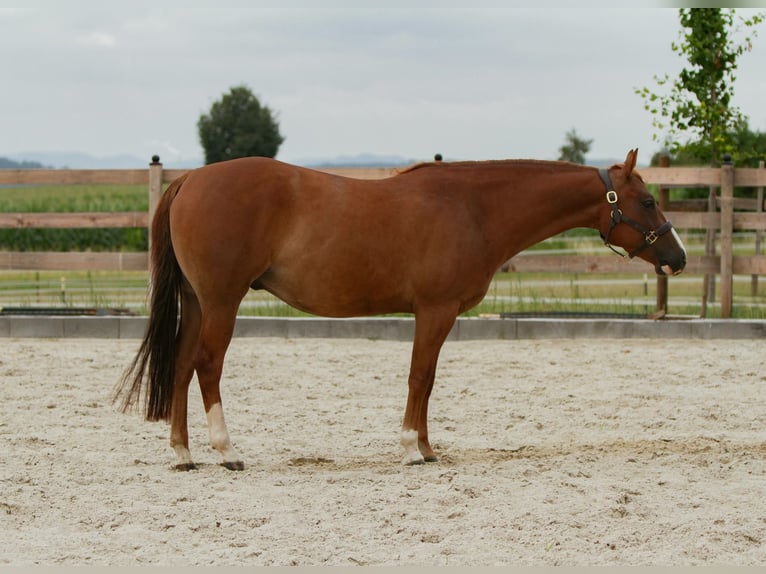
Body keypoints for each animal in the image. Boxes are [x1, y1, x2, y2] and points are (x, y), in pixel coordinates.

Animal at [113, 148, 686, 470]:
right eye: (648, 202)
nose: (677, 258)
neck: (473, 209)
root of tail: (191, 179)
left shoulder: (437, 316)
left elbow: (427, 382)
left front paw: (428, 449)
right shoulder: (435, 311)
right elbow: (419, 378)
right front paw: (412, 449)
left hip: (196, 300)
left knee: (180, 366)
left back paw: (183, 454)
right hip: (222, 301)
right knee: (207, 366)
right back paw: (226, 451)